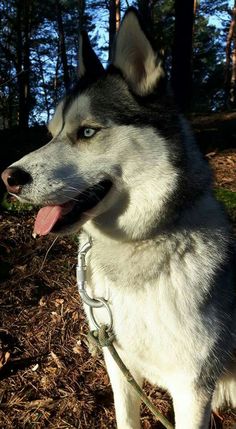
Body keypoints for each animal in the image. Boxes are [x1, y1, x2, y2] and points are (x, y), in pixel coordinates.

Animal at [1, 7, 236, 428]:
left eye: (87, 132)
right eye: (51, 132)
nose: (8, 178)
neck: (135, 246)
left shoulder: (193, 390)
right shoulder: (119, 363)